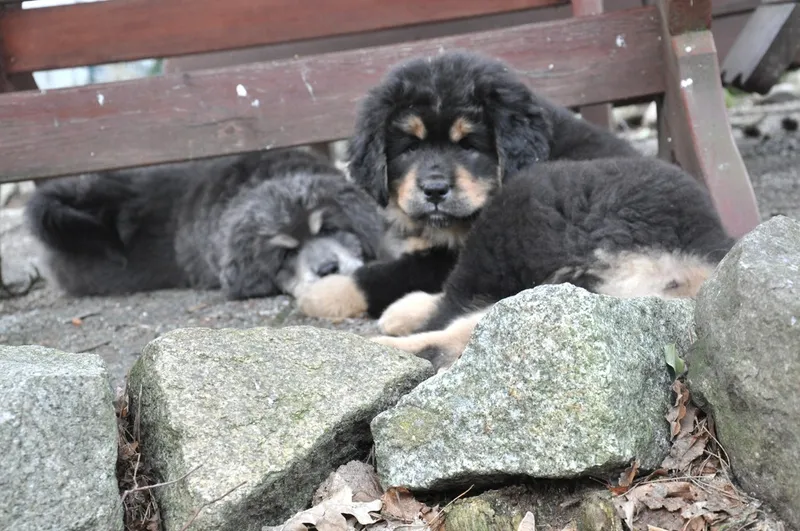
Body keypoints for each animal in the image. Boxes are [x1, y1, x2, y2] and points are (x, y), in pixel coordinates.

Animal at [296, 50, 641, 320]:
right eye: (410, 148)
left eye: (468, 145)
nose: (434, 190)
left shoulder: (445, 257)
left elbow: (393, 272)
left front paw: (323, 291)